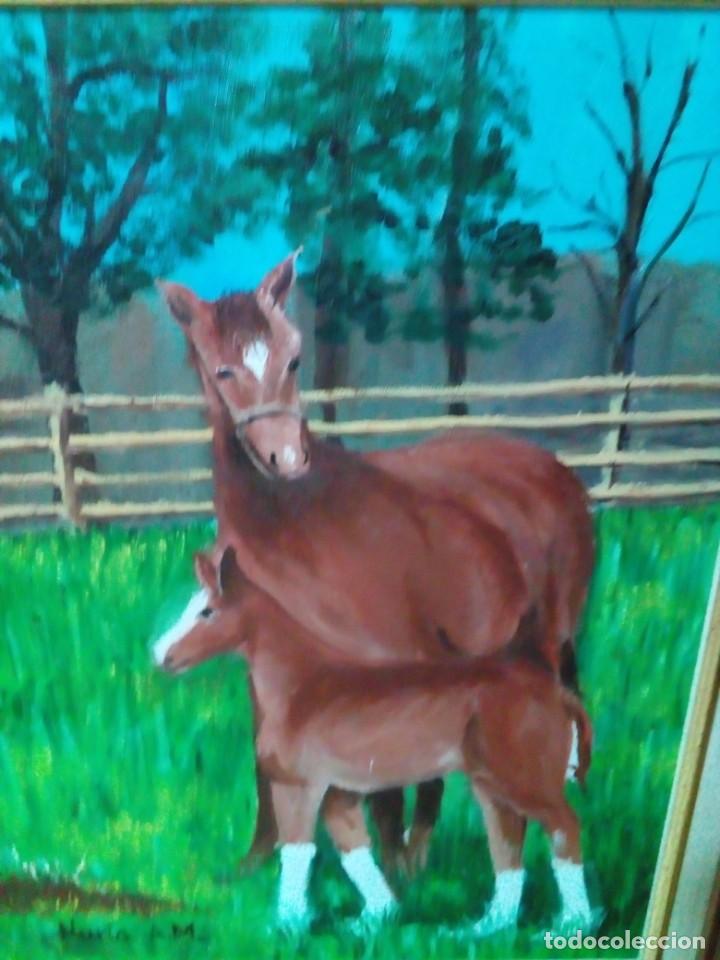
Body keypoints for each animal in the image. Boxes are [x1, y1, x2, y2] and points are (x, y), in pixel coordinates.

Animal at [154, 546, 595, 934]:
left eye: (206, 612)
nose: (160, 656)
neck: (299, 687)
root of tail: (555, 691)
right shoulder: (339, 794)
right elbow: (355, 851)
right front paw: (376, 917)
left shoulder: (298, 786)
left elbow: (296, 850)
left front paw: (287, 924)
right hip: (491, 785)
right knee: (507, 844)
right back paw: (486, 927)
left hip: (522, 782)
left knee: (564, 828)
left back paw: (573, 924)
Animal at [157, 253, 594, 895]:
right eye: (222, 370)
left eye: (294, 358)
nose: (286, 459)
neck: (297, 525)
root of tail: (548, 467)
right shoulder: (264, 657)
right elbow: (271, 762)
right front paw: (255, 861)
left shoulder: (380, 664)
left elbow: (382, 771)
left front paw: (393, 865)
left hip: (544, 640)